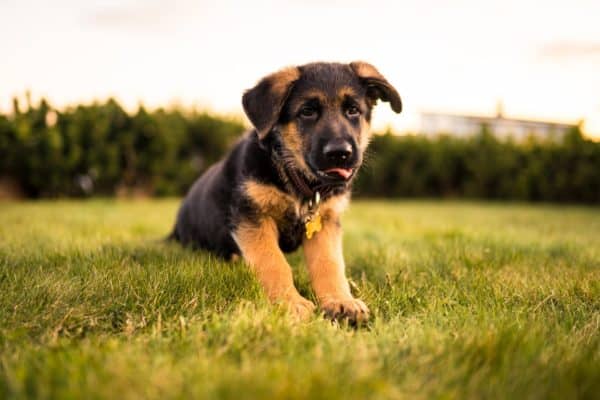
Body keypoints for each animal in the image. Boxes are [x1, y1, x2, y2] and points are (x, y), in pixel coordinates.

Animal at [171, 63, 400, 324]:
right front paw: (290, 302)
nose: (340, 153)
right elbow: (273, 262)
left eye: (353, 110)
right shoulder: (253, 216)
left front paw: (340, 301)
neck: (299, 185)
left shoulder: (325, 222)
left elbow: (330, 263)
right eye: (307, 112)